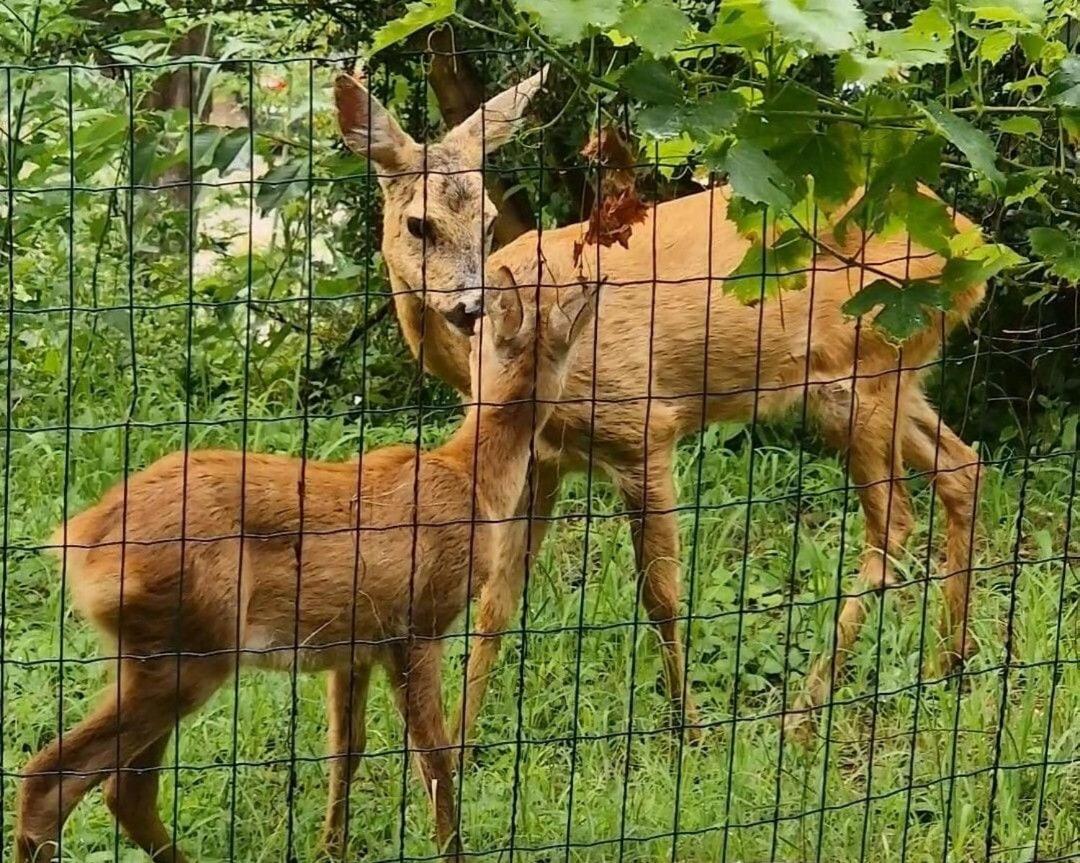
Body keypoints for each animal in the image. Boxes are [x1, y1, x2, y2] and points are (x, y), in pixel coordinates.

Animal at [14, 266, 600, 859]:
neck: (474, 479)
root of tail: (83, 540)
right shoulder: (418, 624)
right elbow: (434, 760)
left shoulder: (355, 643)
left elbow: (347, 748)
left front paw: (330, 848)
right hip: (189, 652)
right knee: (53, 780)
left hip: (150, 655)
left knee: (125, 789)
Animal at [332, 69, 984, 743]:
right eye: (418, 224)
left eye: (488, 221)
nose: (469, 306)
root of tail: (973, 246)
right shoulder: (542, 463)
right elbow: (497, 601)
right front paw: (459, 741)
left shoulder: (642, 429)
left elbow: (662, 596)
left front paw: (688, 730)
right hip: (894, 374)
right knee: (962, 467)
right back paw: (947, 663)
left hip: (865, 368)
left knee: (893, 526)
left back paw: (801, 717)